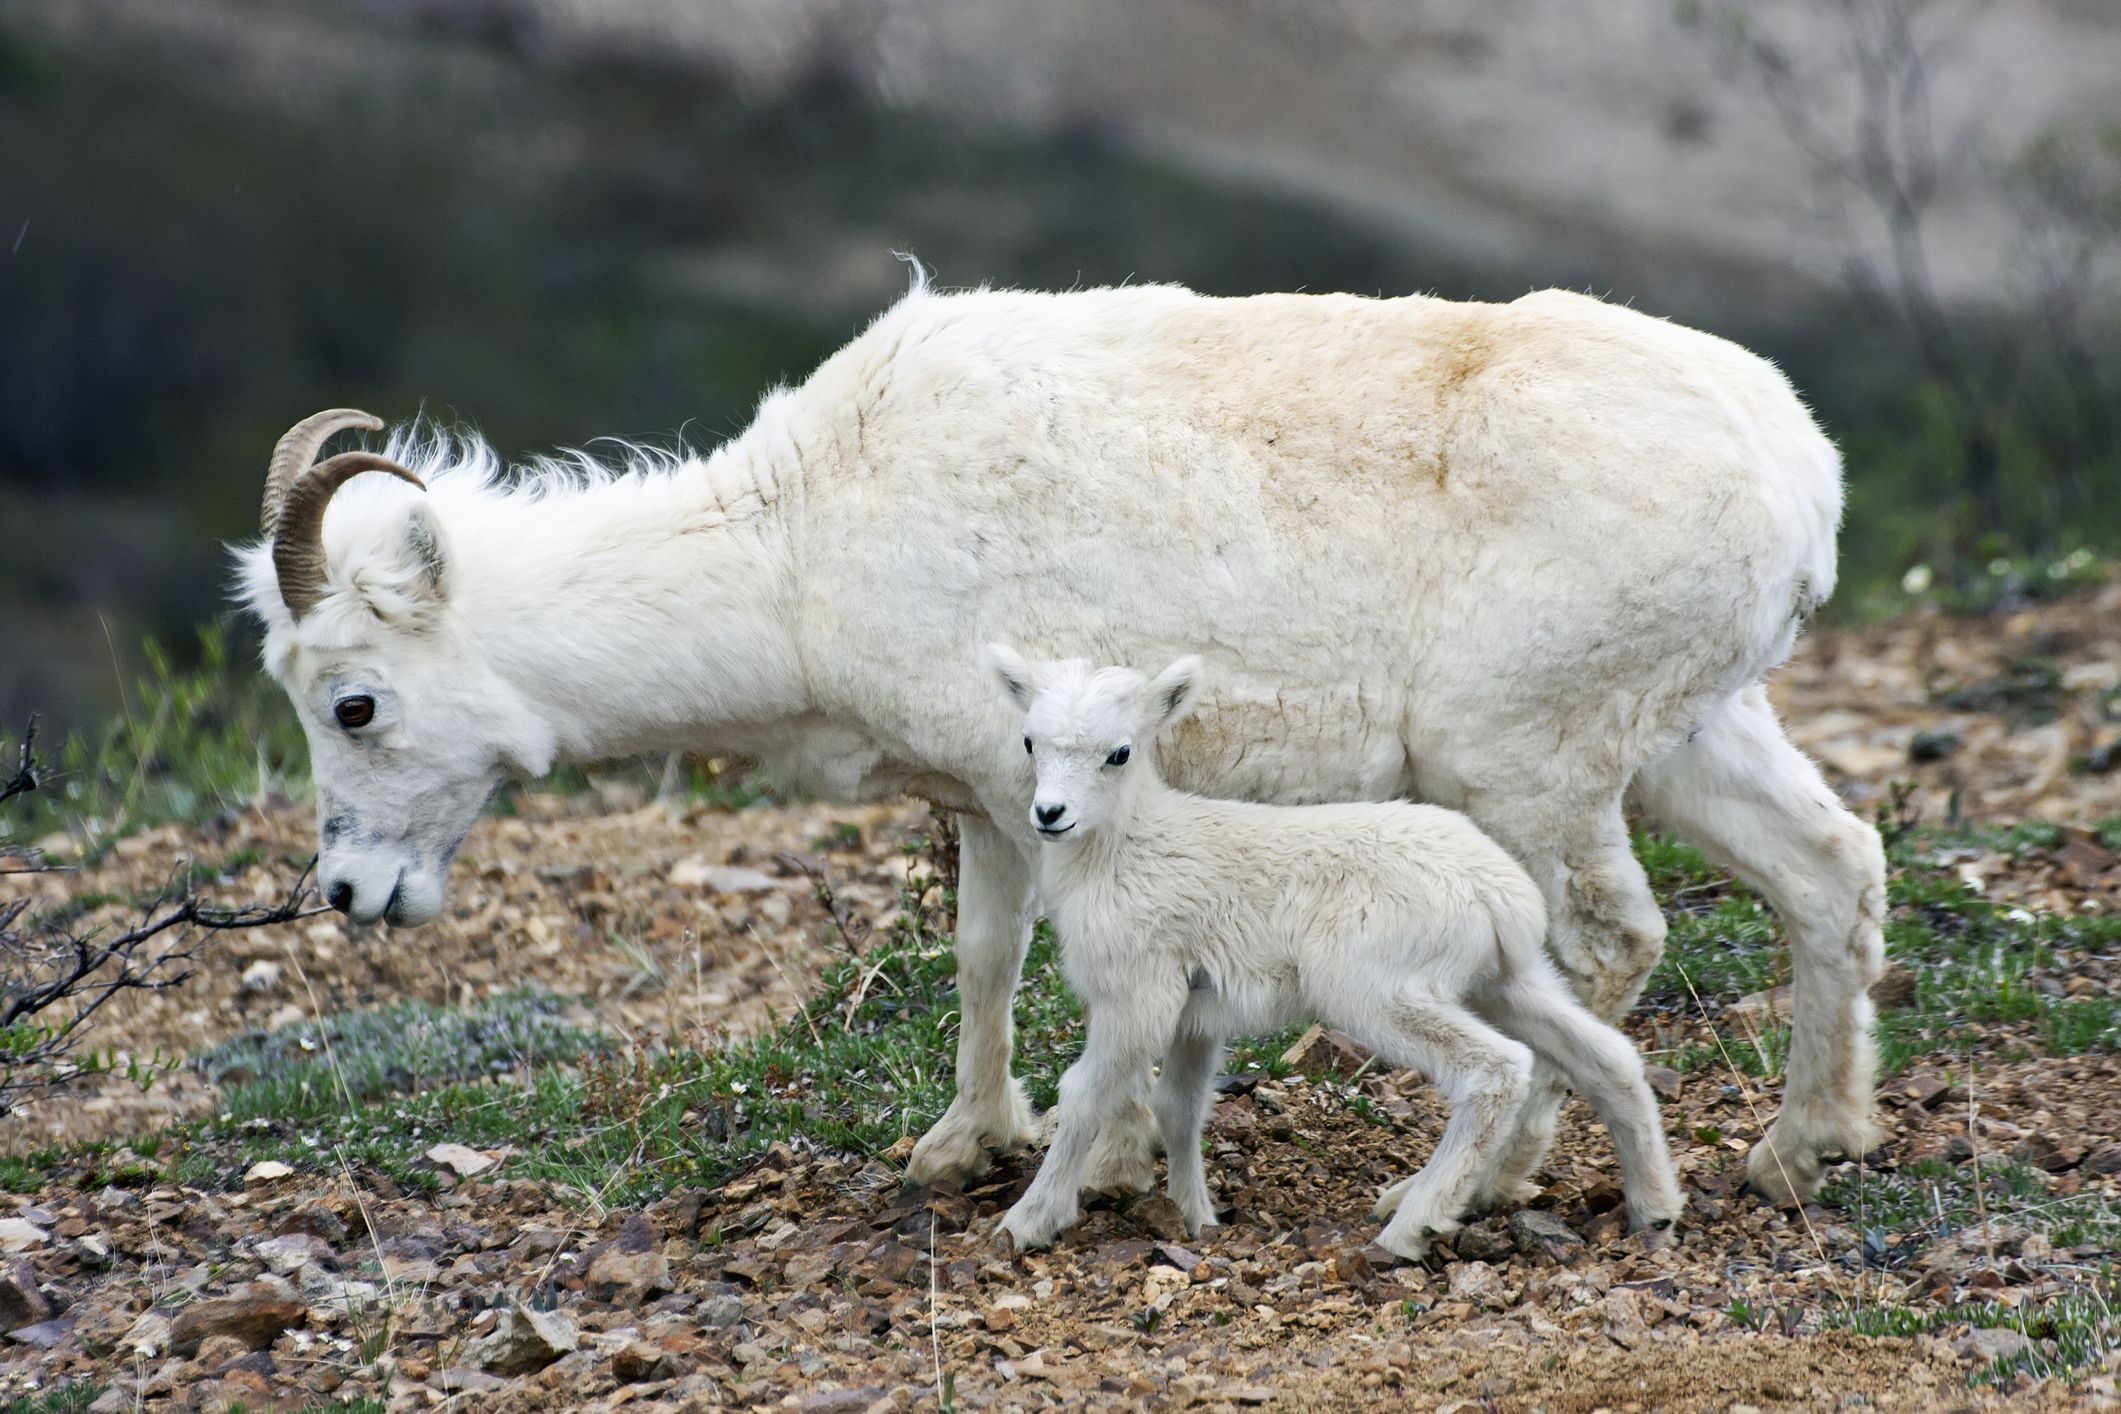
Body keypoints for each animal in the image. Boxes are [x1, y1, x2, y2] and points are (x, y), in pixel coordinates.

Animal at [984, 648, 1679, 1255]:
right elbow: (1179, 1108)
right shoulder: (1196, 1014)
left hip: (1375, 988)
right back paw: (1655, 1209)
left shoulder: (1139, 996)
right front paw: (1197, 1220)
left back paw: (1412, 1225)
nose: (1050, 814)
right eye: (1029, 742)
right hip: (1506, 981)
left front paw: (1027, 1222)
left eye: (1119, 753)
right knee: (1607, 1057)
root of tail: (1499, 895)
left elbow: (1081, 1096)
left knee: (1498, 1069)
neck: (1126, 846)